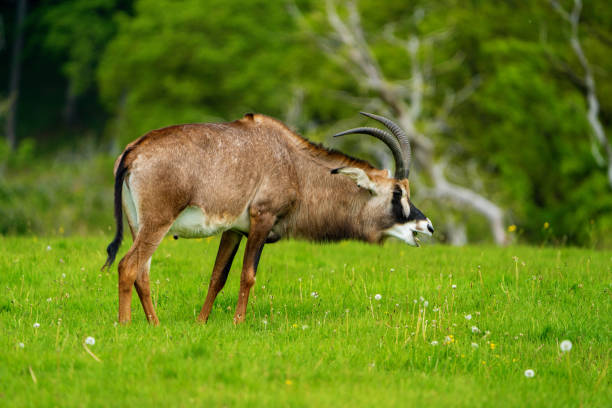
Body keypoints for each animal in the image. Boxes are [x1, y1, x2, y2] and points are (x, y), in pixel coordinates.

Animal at [103, 111, 432, 326]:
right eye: (397, 193)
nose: (426, 226)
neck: (293, 164)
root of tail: (133, 151)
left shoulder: (234, 230)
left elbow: (218, 276)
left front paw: (200, 322)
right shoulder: (262, 218)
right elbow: (247, 275)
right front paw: (238, 323)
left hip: (138, 225)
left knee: (142, 272)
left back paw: (155, 325)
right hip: (157, 223)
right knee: (128, 266)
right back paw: (126, 325)